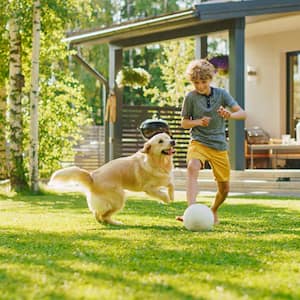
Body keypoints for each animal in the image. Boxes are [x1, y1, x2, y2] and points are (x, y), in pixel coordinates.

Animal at [48, 132, 176, 224]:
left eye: (168, 137)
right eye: (160, 141)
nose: (173, 141)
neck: (158, 162)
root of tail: (92, 177)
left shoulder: (165, 179)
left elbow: (171, 184)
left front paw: (172, 196)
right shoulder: (148, 188)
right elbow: (161, 193)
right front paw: (166, 199)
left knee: (97, 213)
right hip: (119, 198)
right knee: (104, 214)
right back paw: (115, 222)